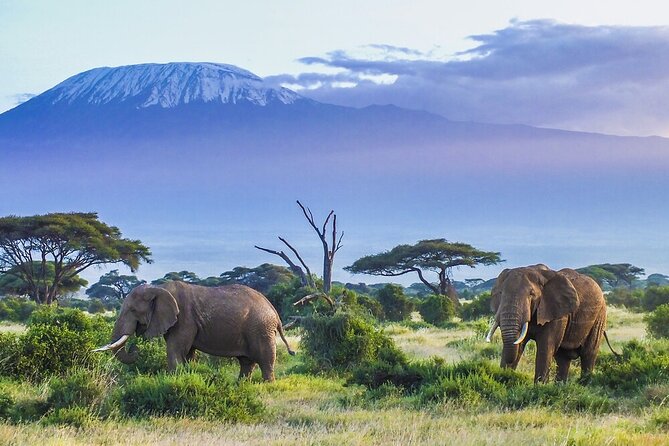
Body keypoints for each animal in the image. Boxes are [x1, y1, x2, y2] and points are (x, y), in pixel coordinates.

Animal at [93, 281, 295, 381]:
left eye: (133, 310)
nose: (135, 348)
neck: (159, 288)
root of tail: (274, 310)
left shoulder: (184, 319)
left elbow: (175, 350)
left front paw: (173, 380)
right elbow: (187, 353)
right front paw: (185, 375)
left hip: (261, 328)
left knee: (265, 360)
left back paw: (268, 385)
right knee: (246, 362)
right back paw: (241, 385)